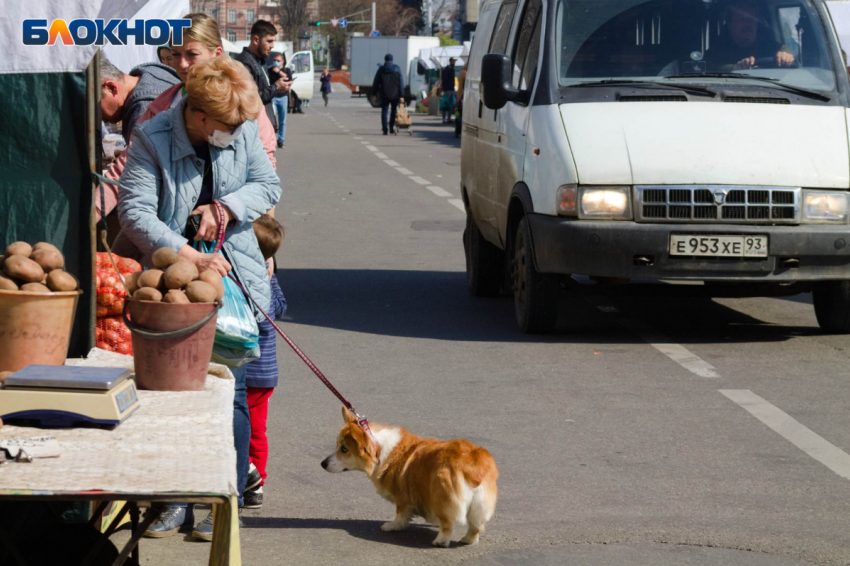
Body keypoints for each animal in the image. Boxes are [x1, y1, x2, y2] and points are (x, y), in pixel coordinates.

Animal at [322, 410, 500, 548]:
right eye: (337, 445)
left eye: (344, 449)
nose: (322, 464)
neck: (379, 451)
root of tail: (472, 464)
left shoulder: (402, 496)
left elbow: (400, 514)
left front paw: (391, 526)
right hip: (480, 504)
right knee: (476, 525)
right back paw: (468, 540)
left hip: (442, 495)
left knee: (447, 524)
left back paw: (440, 541)